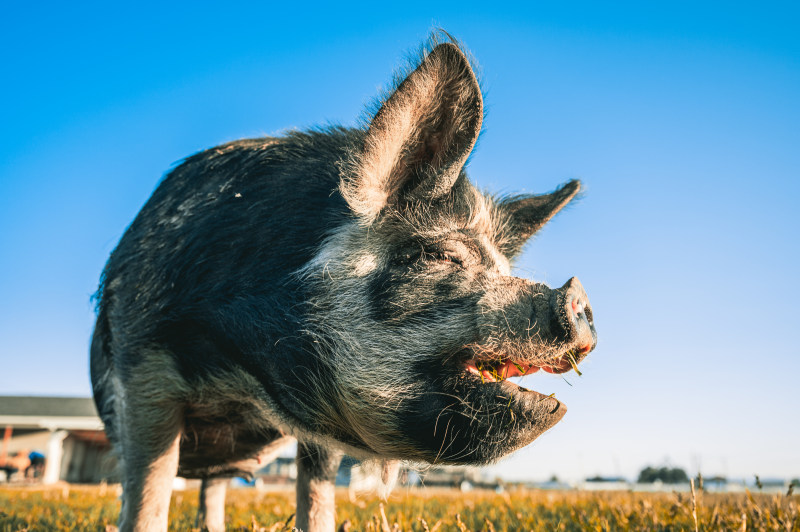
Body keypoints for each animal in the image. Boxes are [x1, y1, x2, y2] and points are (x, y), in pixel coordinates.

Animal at [90, 33, 596, 532]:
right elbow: (148, 494)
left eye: (503, 271)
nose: (577, 297)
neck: (246, 382)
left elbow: (316, 498)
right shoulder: (142, 364)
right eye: (440, 255)